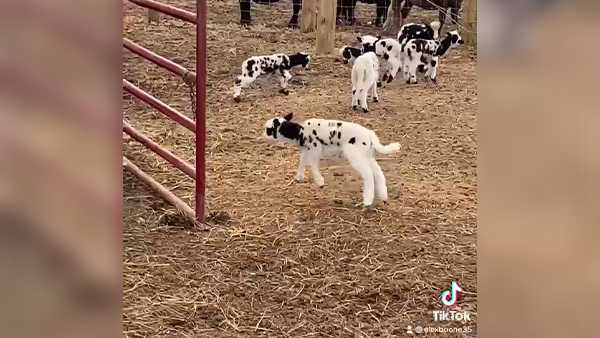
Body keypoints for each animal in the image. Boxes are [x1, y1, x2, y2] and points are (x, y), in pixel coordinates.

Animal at [262, 113, 398, 206]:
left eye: (269, 130)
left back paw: (367, 201)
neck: (300, 132)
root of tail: (370, 134)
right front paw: (299, 177)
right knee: (378, 173)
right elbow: (302, 161)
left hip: (356, 156)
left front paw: (320, 182)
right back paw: (383, 197)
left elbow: (312, 164)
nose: (262, 136)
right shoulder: (306, 149)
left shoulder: (315, 148)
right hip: (367, 156)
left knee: (368, 175)